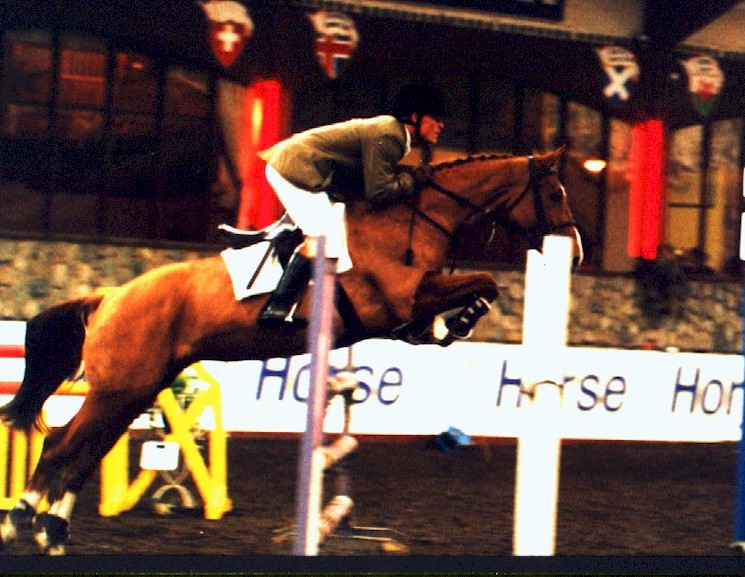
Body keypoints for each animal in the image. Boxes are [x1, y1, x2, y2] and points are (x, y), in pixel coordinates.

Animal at [0, 147, 582, 555]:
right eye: (556, 194)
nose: (574, 253)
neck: (415, 219)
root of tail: (109, 296)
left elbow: (473, 291)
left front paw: (448, 325)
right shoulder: (399, 298)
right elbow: (485, 281)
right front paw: (459, 317)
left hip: (136, 389)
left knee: (86, 452)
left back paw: (54, 530)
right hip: (120, 388)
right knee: (62, 446)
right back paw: (22, 519)